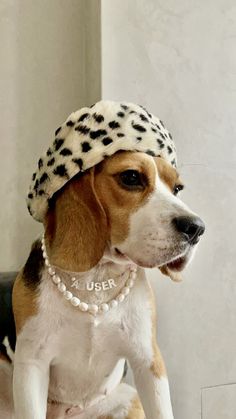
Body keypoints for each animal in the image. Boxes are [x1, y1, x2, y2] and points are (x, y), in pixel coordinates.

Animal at [0, 149, 205, 418]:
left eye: (177, 188)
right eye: (131, 177)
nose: (196, 228)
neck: (96, 278)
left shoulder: (148, 361)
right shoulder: (31, 365)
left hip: (131, 398)